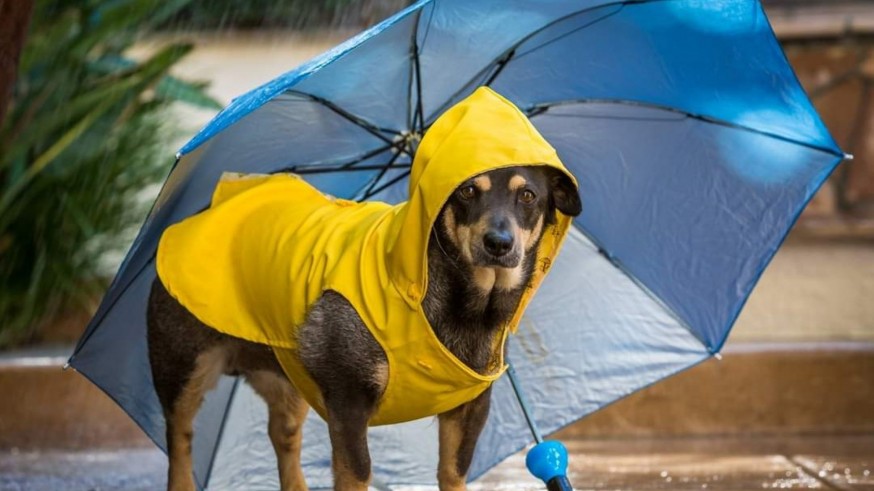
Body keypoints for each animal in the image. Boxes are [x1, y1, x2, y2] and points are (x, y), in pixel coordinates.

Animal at [147, 166, 584, 491]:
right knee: (179, 440)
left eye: (528, 195)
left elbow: (452, 472)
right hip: (182, 368)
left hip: (287, 381)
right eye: (466, 191)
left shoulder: (470, 409)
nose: (498, 243)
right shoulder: (348, 401)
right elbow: (357, 474)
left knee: (283, 437)